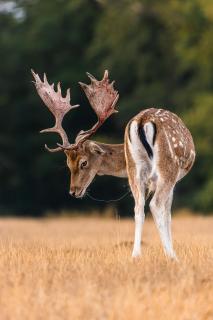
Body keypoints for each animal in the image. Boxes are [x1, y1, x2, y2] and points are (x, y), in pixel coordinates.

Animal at [31, 69, 195, 258]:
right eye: (68, 164)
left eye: (83, 163)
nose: (73, 191)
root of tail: (142, 121)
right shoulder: (172, 180)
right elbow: (168, 214)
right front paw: (171, 252)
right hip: (167, 167)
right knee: (155, 205)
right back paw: (171, 256)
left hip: (135, 171)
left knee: (138, 207)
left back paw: (136, 255)